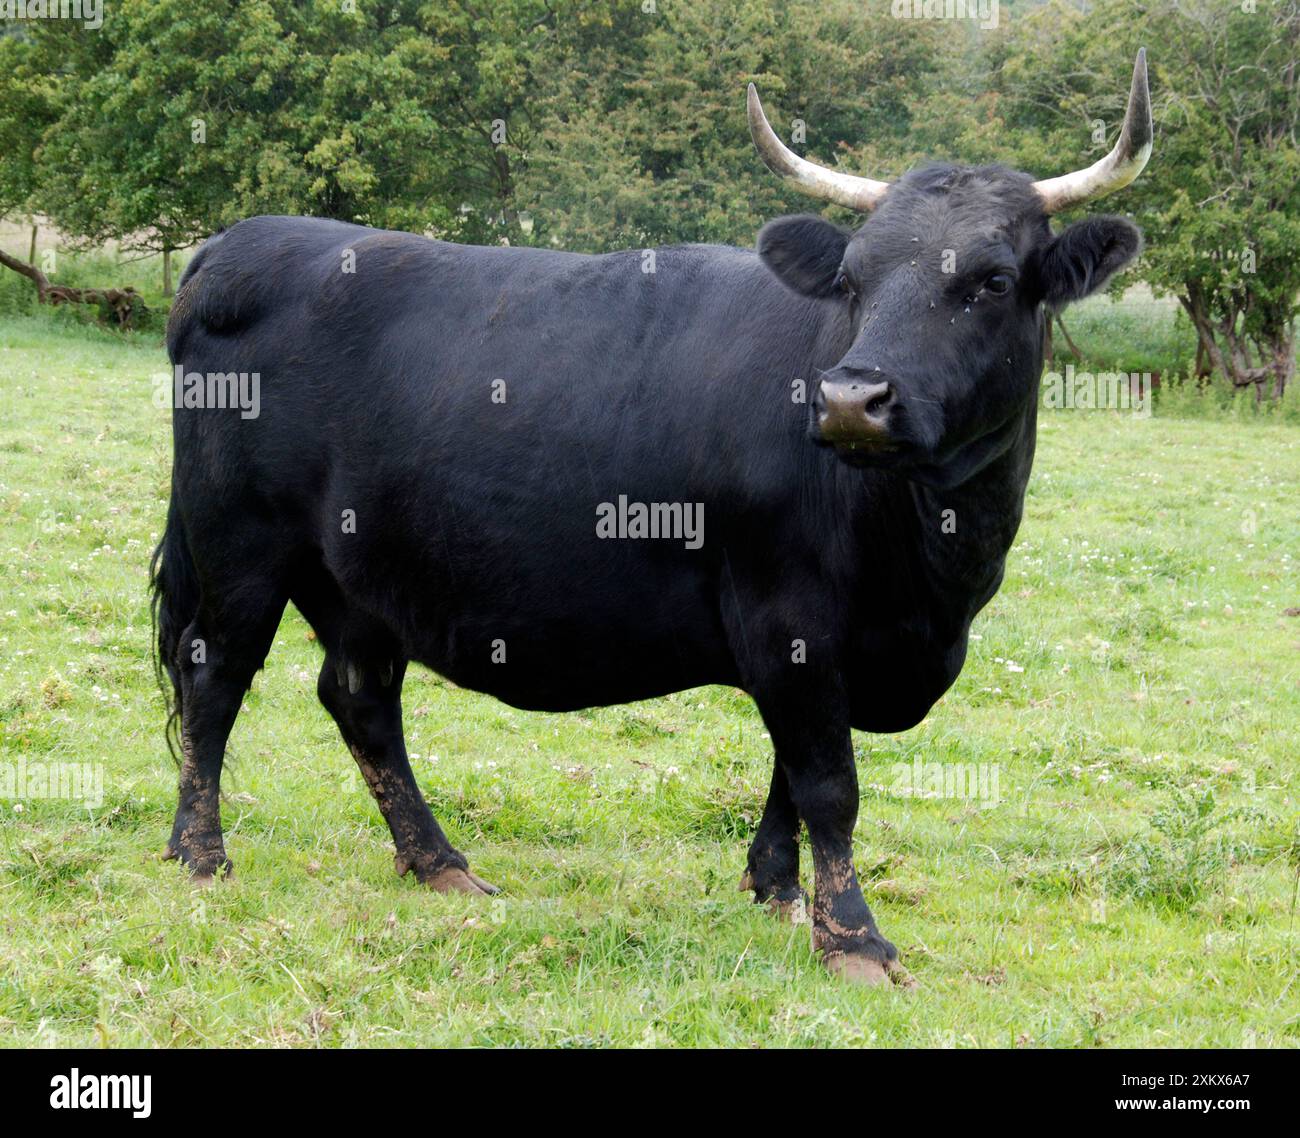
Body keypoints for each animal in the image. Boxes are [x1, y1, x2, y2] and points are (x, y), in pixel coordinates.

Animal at [152, 53, 1149, 983]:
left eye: (992, 280)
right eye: (854, 279)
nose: (849, 402)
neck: (933, 575)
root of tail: (241, 243)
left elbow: (789, 773)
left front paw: (777, 890)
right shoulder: (786, 617)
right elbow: (828, 782)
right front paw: (855, 939)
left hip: (356, 573)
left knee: (360, 698)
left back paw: (437, 863)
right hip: (241, 545)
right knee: (214, 676)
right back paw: (202, 855)